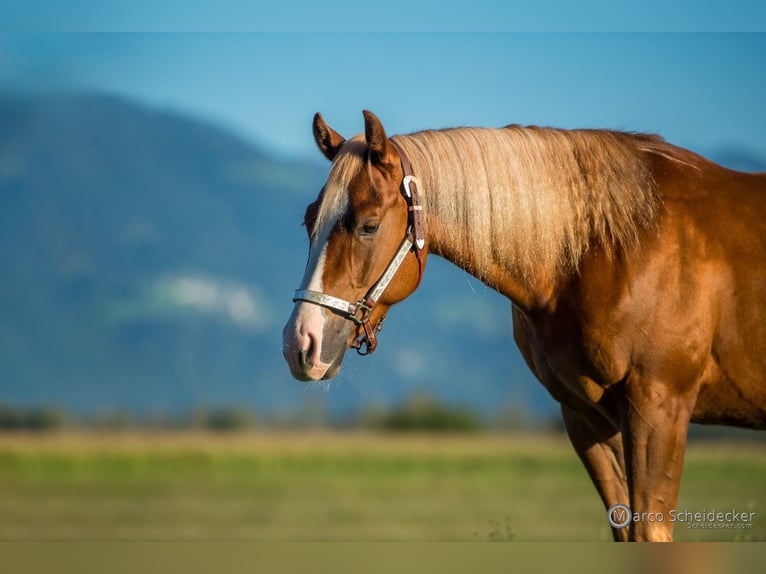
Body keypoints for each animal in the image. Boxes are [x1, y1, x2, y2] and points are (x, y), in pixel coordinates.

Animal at [282, 110, 766, 541]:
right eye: (308, 220)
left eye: (368, 226)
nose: (299, 343)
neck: (606, 248)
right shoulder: (588, 418)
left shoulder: (659, 408)